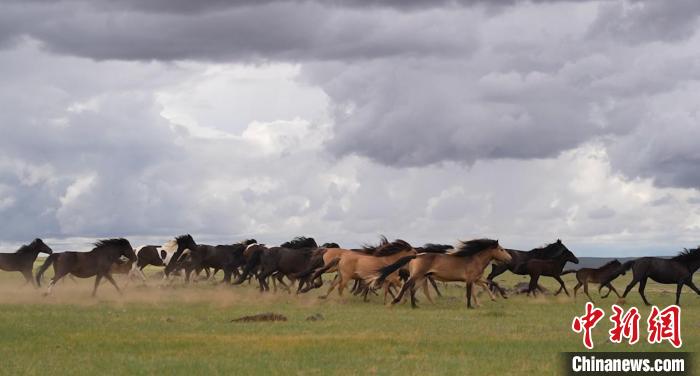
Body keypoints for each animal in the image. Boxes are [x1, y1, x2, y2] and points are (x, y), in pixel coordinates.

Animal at [374, 239, 512, 310]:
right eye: (501, 249)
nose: (510, 259)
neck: (474, 259)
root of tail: (416, 255)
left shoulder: (477, 279)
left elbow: (493, 282)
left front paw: (503, 296)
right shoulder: (470, 280)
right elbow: (468, 293)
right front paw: (470, 307)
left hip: (422, 277)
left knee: (413, 289)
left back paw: (415, 306)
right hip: (417, 275)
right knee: (407, 285)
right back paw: (395, 301)